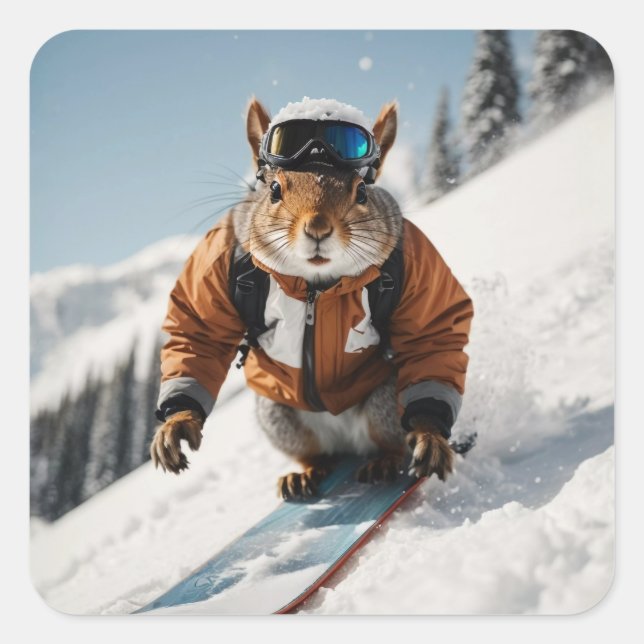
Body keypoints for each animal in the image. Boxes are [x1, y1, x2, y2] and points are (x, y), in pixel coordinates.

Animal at [150, 97, 474, 500]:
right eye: (274, 189)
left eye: (361, 192)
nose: (317, 228)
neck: (314, 288)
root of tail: (345, 440)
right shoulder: (219, 252)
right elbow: (199, 331)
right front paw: (177, 423)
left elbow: (434, 330)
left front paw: (430, 436)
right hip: (280, 420)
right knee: (316, 455)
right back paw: (304, 475)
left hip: (385, 403)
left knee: (390, 441)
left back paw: (385, 461)